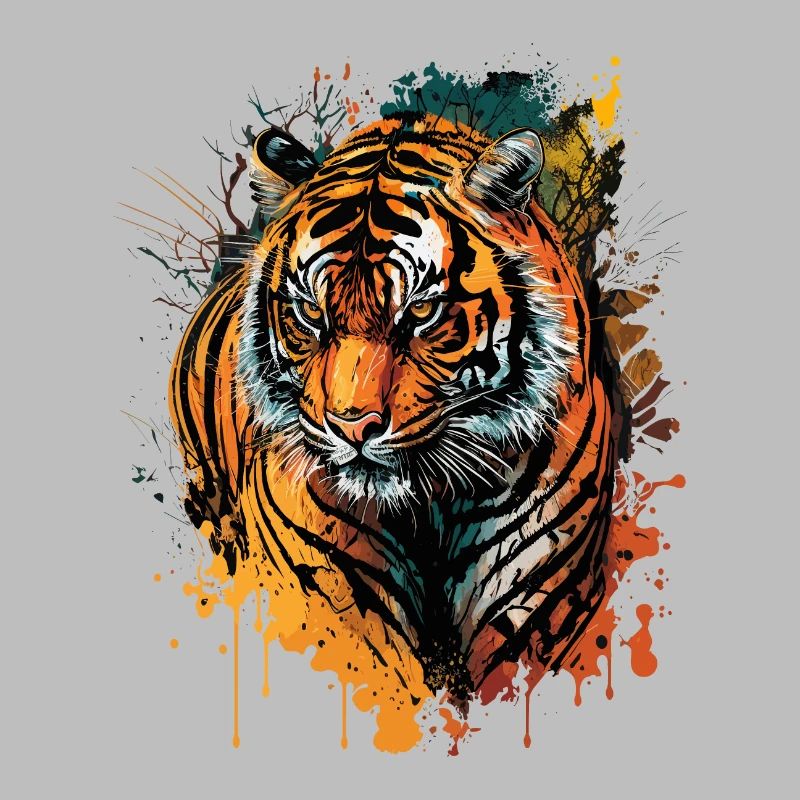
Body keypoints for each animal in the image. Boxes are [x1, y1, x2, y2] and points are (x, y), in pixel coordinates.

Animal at [169, 113, 615, 699]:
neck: (430, 509)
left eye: (420, 312)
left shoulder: (538, 594)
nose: (350, 426)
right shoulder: (328, 595)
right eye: (311, 313)